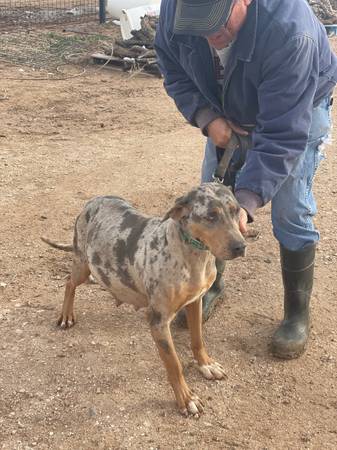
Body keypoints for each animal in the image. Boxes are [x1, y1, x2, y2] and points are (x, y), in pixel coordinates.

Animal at [43, 182, 245, 414]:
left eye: (235, 210)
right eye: (211, 216)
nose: (241, 247)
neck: (193, 255)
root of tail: (93, 200)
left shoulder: (195, 302)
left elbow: (198, 340)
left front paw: (206, 364)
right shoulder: (158, 322)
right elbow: (174, 364)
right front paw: (186, 398)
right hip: (82, 264)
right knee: (69, 282)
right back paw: (66, 315)